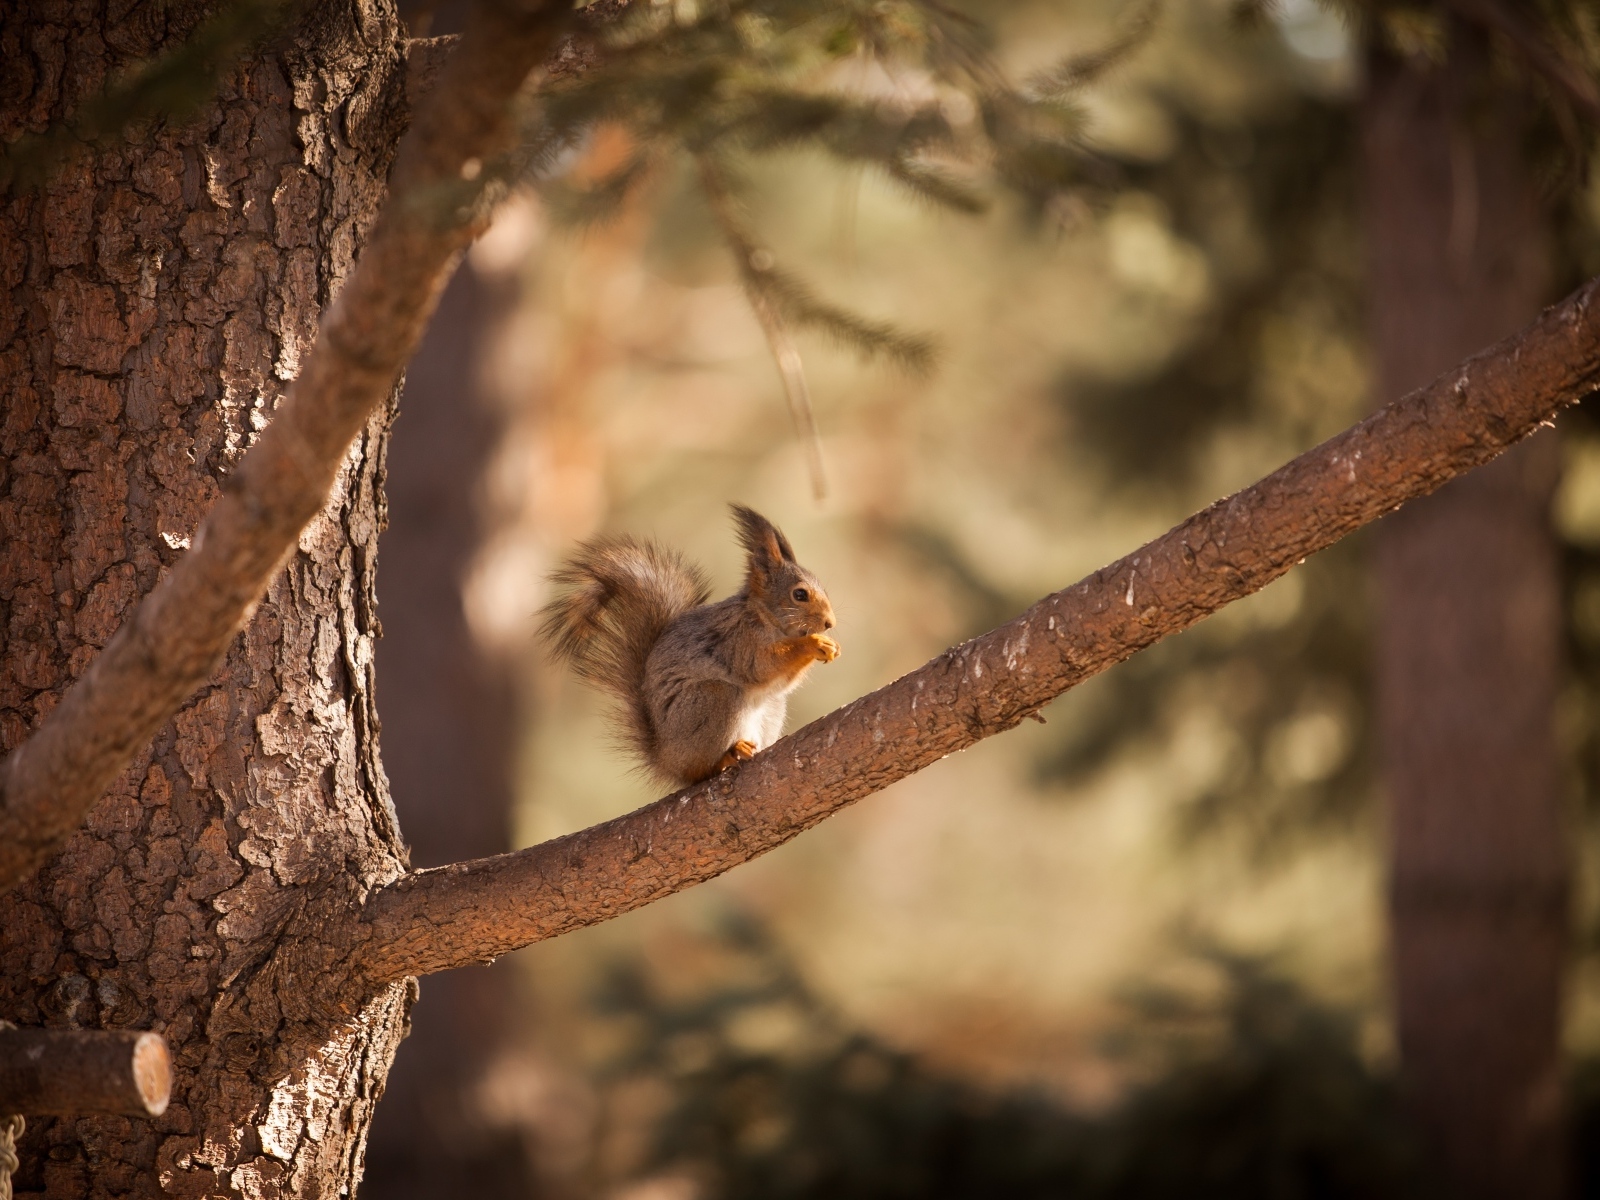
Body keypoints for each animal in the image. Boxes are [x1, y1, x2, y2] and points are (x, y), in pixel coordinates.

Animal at [540, 505, 844, 790]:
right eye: (800, 594)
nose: (830, 623)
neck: (764, 616)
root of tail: (666, 758)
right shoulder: (739, 641)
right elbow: (762, 667)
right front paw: (814, 643)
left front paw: (831, 646)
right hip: (712, 701)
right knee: (697, 771)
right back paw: (725, 756)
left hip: (771, 708)